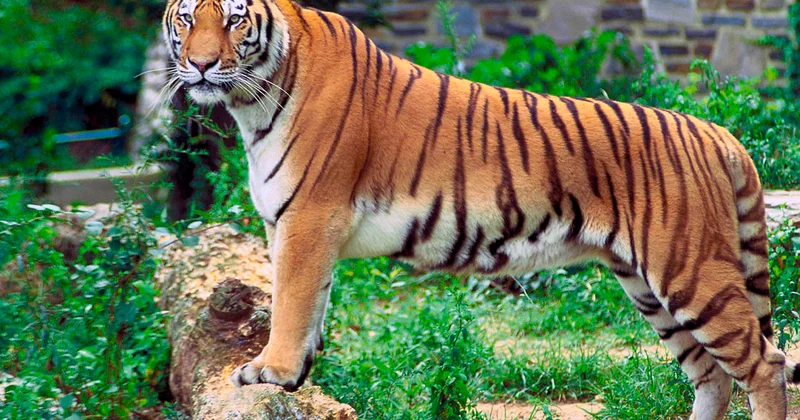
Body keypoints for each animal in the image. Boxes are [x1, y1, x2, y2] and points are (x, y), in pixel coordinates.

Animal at [161, 0, 800, 418]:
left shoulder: (309, 217)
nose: (201, 65)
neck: (252, 101)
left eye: (235, 18)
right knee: (713, 375)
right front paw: (297, 376)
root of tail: (716, 131)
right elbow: (310, 302)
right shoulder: (292, 225)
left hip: (689, 269)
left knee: (765, 364)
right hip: (648, 286)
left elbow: (291, 302)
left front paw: (271, 370)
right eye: (187, 17)